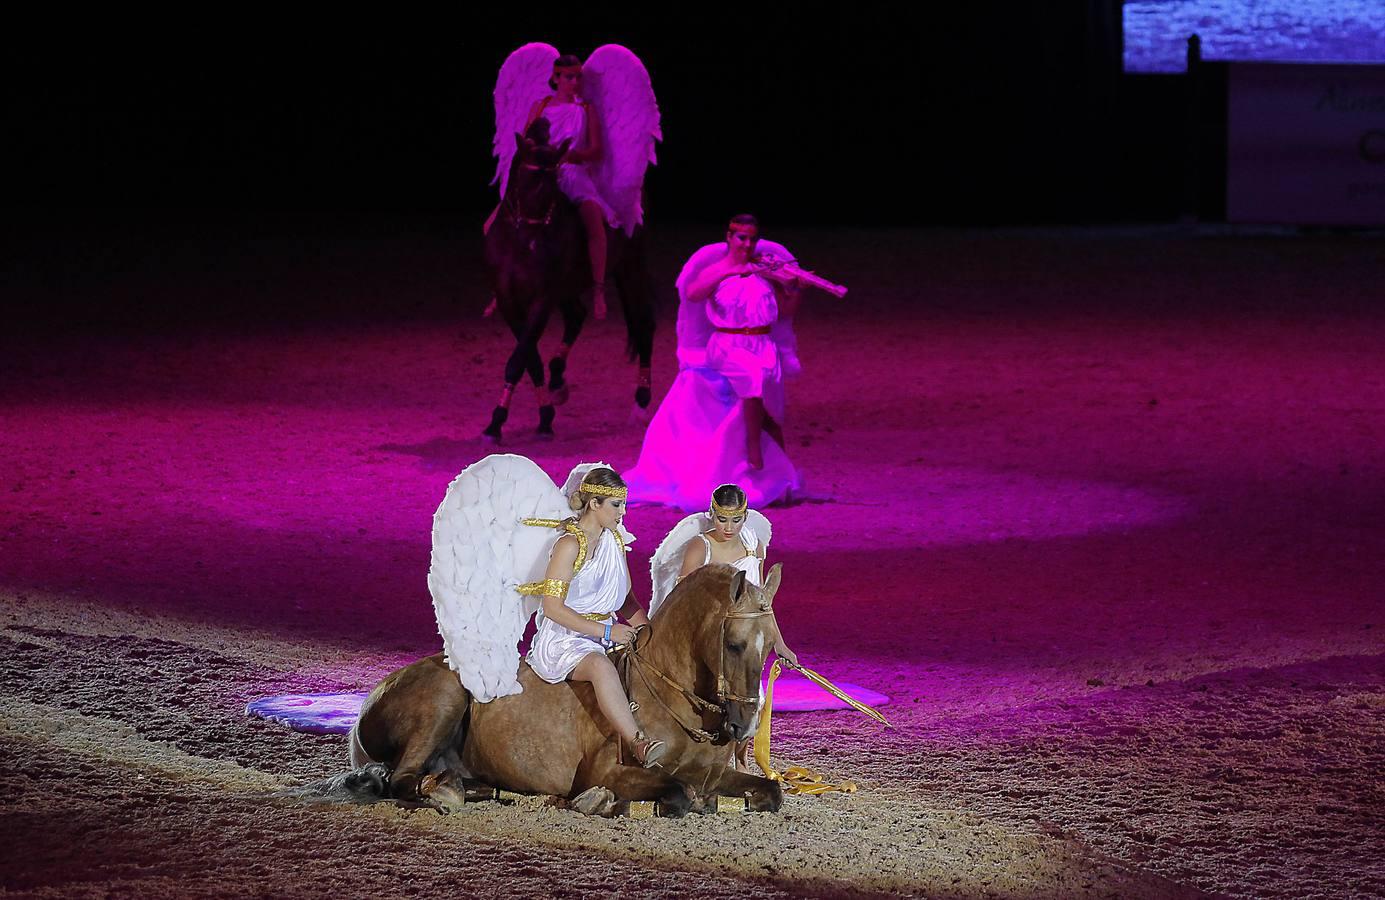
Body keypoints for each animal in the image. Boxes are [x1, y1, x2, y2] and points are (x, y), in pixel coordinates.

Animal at [317, 564, 786, 814]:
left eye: (770, 648)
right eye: (734, 644)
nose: (744, 727)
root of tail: (372, 697)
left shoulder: (713, 773)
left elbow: (771, 791)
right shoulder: (612, 772)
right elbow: (676, 792)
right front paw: (602, 802)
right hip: (443, 698)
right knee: (402, 779)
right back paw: (447, 791)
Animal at [481, 119, 659, 440]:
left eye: (554, 186)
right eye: (522, 181)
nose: (532, 246)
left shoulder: (543, 297)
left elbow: (519, 357)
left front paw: (499, 421)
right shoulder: (508, 299)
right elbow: (529, 358)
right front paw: (538, 417)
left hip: (632, 268)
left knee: (643, 324)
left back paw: (641, 403)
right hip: (570, 286)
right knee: (577, 315)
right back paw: (557, 380)